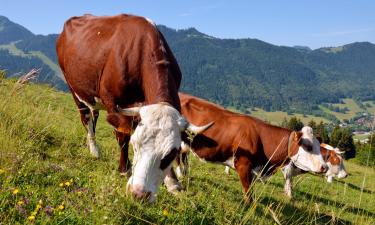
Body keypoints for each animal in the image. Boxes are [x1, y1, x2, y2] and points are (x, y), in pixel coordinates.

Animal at [57, 14, 213, 203]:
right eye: (135, 144)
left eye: (171, 154)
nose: (139, 194)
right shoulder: (114, 104)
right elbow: (122, 137)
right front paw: (124, 169)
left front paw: (173, 183)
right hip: (74, 88)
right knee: (86, 119)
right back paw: (94, 150)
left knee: (94, 115)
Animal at [178, 92, 328, 201]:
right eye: (308, 146)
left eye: (319, 147)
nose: (325, 167)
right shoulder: (243, 166)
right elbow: (248, 194)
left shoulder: (254, 171)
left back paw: (184, 175)